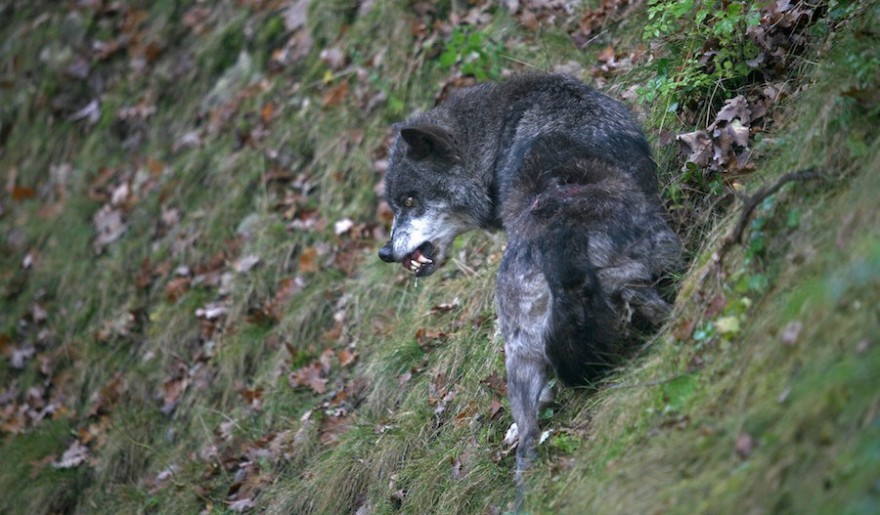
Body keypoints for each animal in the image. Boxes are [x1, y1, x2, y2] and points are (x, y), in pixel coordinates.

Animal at [378, 74, 680, 498]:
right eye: (397, 204)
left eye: (408, 200)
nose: (385, 252)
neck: (499, 133)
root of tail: (553, 234)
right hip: (660, 251)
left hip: (516, 352)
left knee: (526, 440)